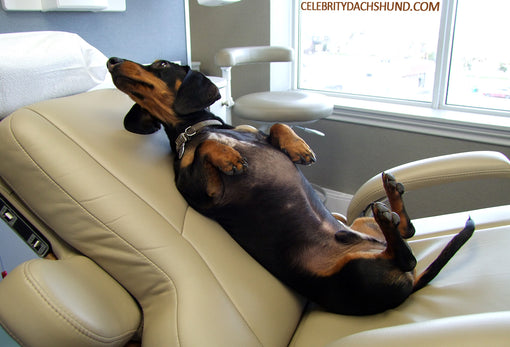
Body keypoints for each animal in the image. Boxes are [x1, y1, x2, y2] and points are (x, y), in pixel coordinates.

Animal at [106, 57, 474, 316]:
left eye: (161, 65)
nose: (111, 60)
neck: (196, 128)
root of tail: (409, 288)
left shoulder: (250, 132)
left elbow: (277, 125)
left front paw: (299, 148)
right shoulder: (200, 191)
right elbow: (210, 150)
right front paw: (229, 157)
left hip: (357, 224)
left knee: (407, 233)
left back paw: (391, 195)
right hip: (359, 274)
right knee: (406, 251)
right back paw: (387, 213)